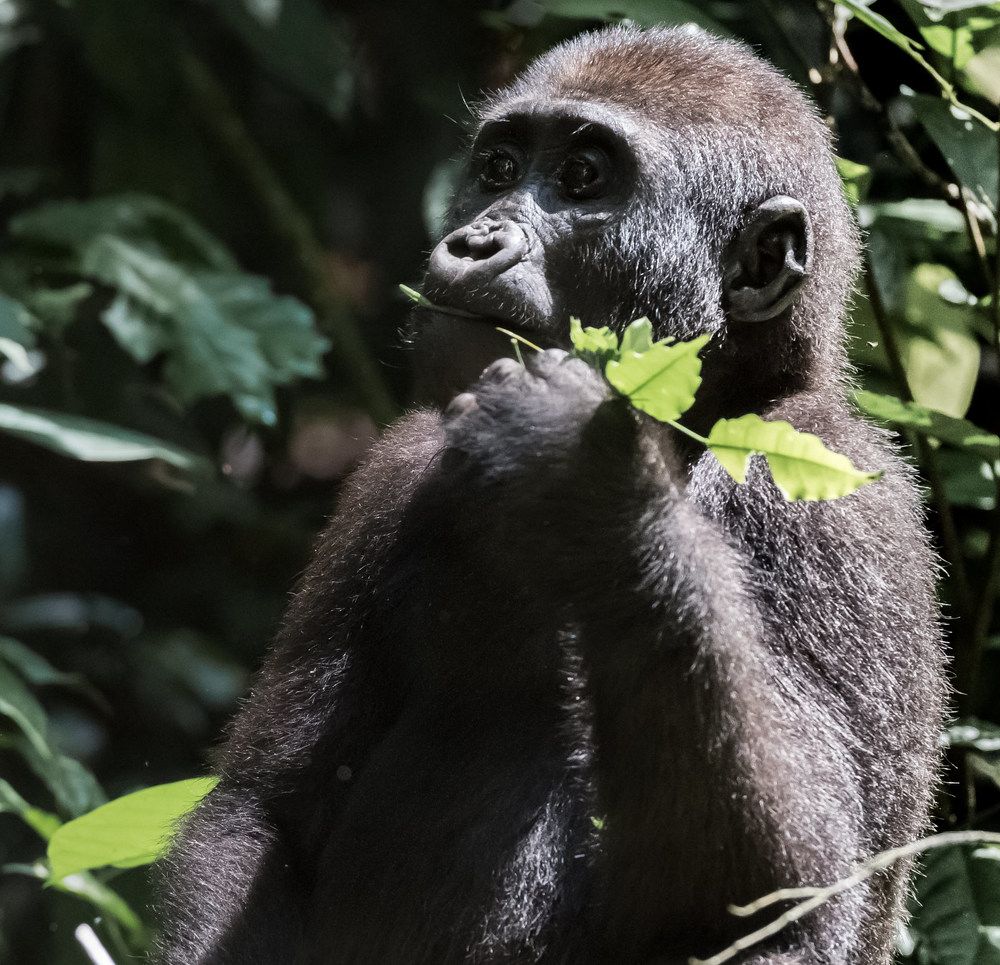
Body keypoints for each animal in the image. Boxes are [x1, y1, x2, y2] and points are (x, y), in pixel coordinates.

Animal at [156, 24, 946, 964]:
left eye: (582, 180)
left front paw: (587, 486)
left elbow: (788, 883)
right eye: (497, 169)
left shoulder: (831, 501)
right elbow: (263, 813)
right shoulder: (399, 465)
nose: (474, 242)